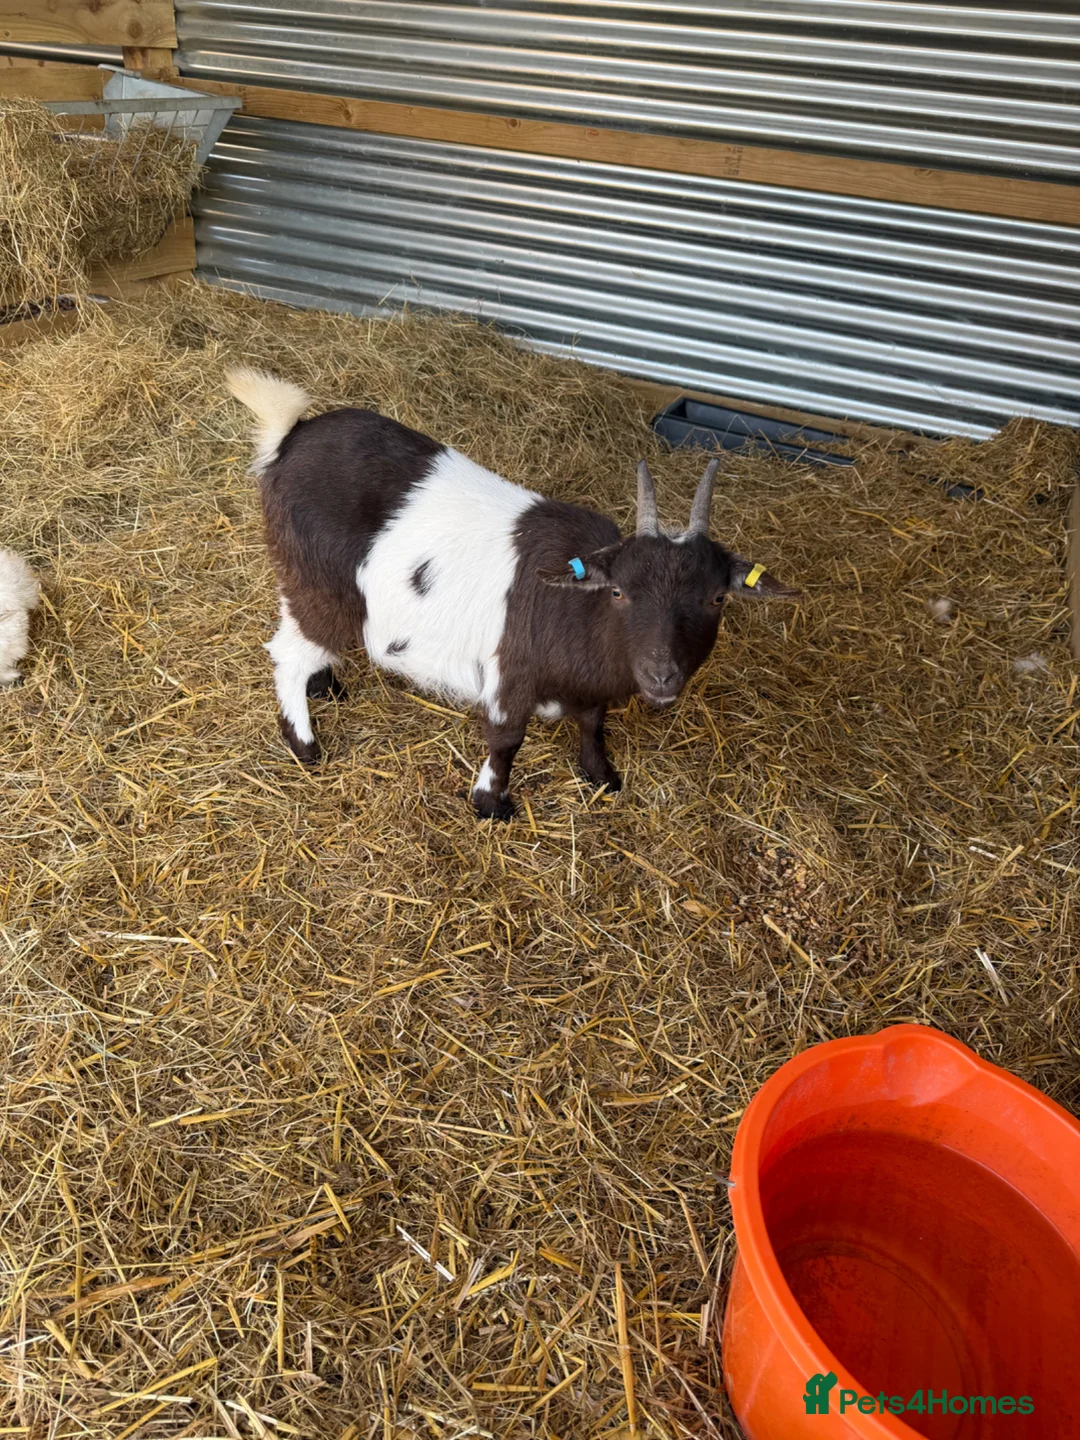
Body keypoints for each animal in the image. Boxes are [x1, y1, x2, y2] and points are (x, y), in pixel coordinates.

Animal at [227, 369, 797, 819]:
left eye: (717, 598)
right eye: (618, 591)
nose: (662, 675)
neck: (577, 609)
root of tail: (289, 437)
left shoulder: (590, 687)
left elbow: (593, 723)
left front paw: (601, 776)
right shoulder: (510, 673)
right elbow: (506, 740)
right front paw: (491, 804)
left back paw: (326, 685)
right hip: (317, 583)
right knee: (288, 652)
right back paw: (305, 744)